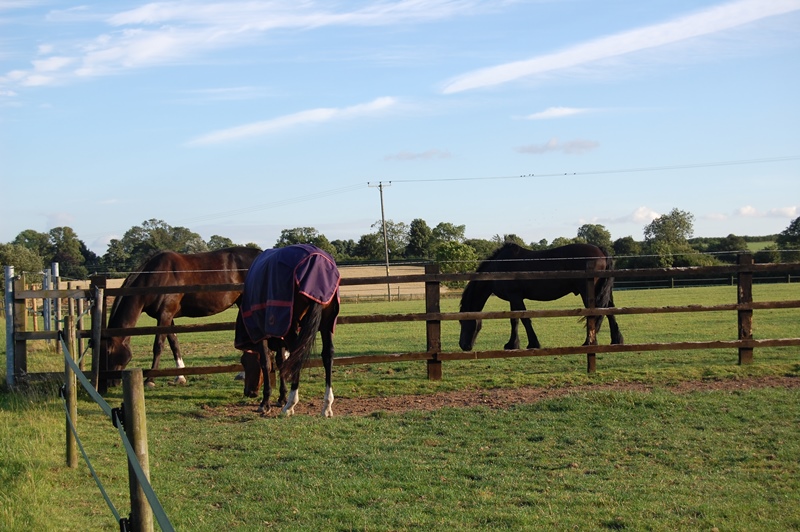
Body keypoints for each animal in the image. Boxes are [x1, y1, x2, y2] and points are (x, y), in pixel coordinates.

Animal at [101, 245, 260, 386]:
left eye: (108, 351)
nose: (110, 383)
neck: (156, 277)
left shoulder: (165, 315)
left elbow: (158, 346)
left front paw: (150, 380)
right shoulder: (167, 317)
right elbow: (174, 343)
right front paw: (180, 377)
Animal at [234, 244, 340, 416]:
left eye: (244, 362)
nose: (248, 392)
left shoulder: (262, 334)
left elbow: (267, 363)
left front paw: (266, 402)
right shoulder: (280, 335)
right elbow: (281, 362)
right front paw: (281, 397)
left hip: (292, 327)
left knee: (298, 356)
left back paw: (290, 404)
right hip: (327, 324)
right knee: (328, 355)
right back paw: (327, 405)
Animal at [456, 243, 624, 352]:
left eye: (462, 321)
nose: (463, 345)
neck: (498, 268)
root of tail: (601, 250)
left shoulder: (515, 296)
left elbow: (524, 319)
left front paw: (533, 343)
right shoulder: (513, 298)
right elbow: (514, 320)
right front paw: (512, 344)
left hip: (589, 292)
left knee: (594, 313)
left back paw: (589, 342)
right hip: (602, 291)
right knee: (609, 310)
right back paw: (616, 340)